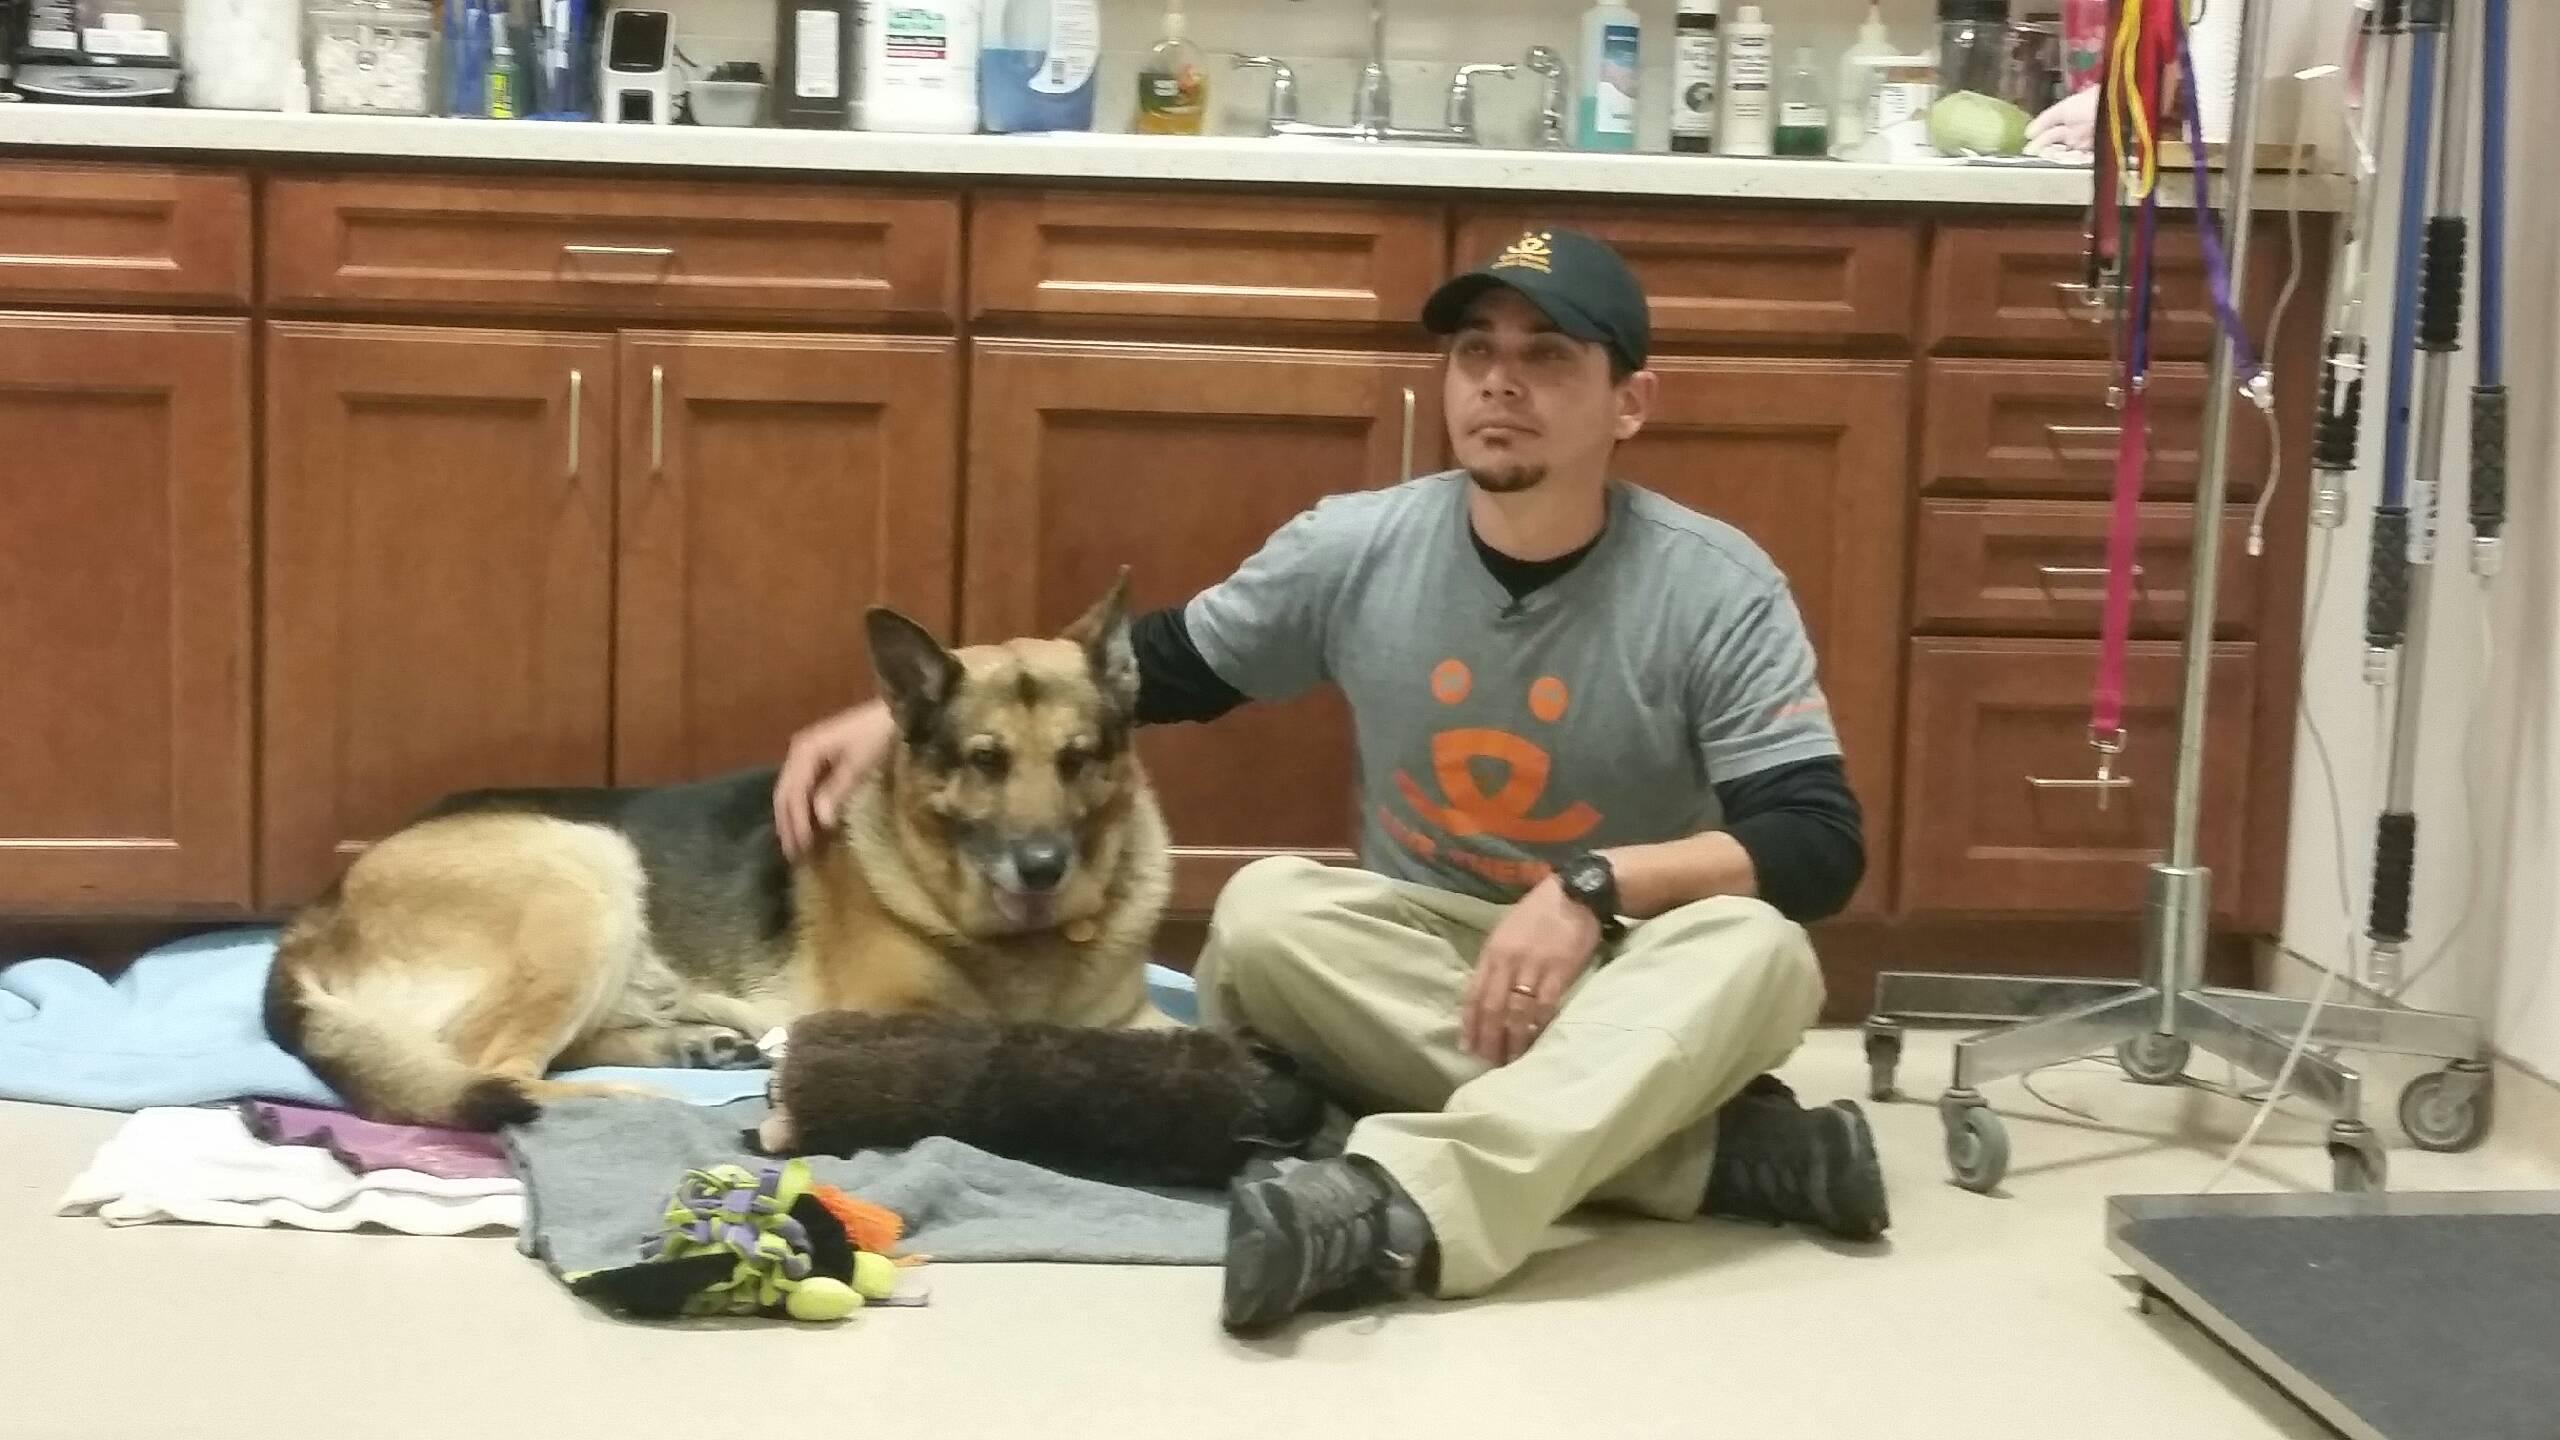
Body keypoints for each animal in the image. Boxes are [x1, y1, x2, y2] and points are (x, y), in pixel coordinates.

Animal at [259, 573, 1177, 1132]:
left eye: (1078, 759)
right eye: (986, 761)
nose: (1043, 867)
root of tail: (312, 918)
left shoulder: (1137, 1020)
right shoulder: (887, 1015)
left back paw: (689, 1048)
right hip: (583, 872)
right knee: (496, 1071)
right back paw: (632, 1099)